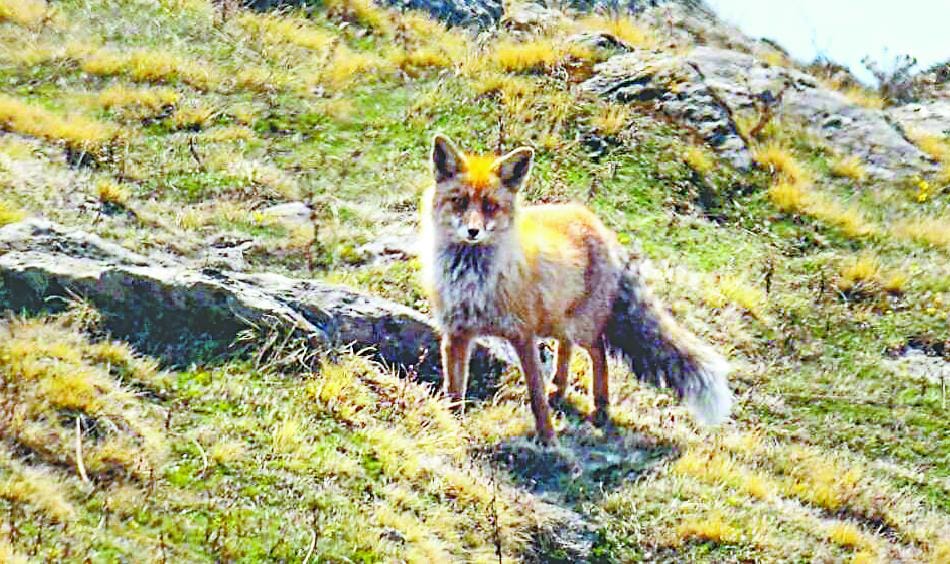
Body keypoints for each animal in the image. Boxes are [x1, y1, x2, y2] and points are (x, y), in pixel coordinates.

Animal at [419, 134, 733, 445]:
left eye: (490, 206)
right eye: (459, 201)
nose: (473, 232)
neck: (472, 281)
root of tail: (599, 226)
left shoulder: (523, 334)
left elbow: (535, 394)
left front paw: (548, 439)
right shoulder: (456, 334)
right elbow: (454, 389)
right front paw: (454, 427)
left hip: (579, 326)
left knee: (598, 353)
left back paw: (601, 408)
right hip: (555, 320)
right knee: (566, 347)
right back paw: (559, 389)